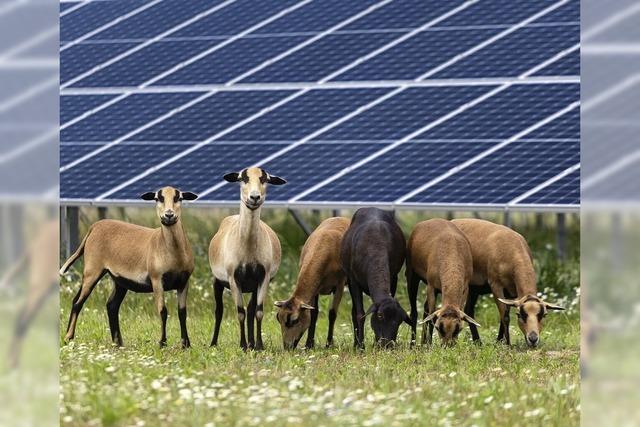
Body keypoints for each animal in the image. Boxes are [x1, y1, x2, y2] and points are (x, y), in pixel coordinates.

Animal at [60, 189, 200, 350]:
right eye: (158, 198)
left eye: (179, 198)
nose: (169, 215)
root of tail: (94, 227)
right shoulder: (157, 279)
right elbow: (163, 311)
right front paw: (162, 343)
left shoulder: (184, 281)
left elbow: (182, 312)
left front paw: (186, 344)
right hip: (92, 270)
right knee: (77, 302)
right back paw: (68, 338)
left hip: (119, 280)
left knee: (111, 305)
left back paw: (118, 343)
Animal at [210, 167, 284, 352]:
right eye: (242, 179)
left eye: (265, 179)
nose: (254, 197)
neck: (248, 250)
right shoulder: (233, 278)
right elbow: (240, 312)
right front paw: (242, 345)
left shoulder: (263, 277)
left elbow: (258, 311)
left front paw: (258, 345)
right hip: (217, 280)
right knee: (219, 311)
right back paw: (213, 343)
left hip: (253, 285)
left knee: (251, 309)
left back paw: (252, 343)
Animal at [276, 217, 350, 352]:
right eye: (278, 317)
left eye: (295, 320)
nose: (287, 347)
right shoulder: (315, 289)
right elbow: (314, 314)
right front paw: (309, 345)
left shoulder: (340, 285)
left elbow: (332, 314)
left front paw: (329, 344)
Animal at [340, 208, 410, 352]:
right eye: (380, 316)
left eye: (400, 320)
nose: (387, 345)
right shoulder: (353, 281)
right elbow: (359, 314)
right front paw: (361, 347)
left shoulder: (393, 277)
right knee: (354, 312)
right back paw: (356, 344)